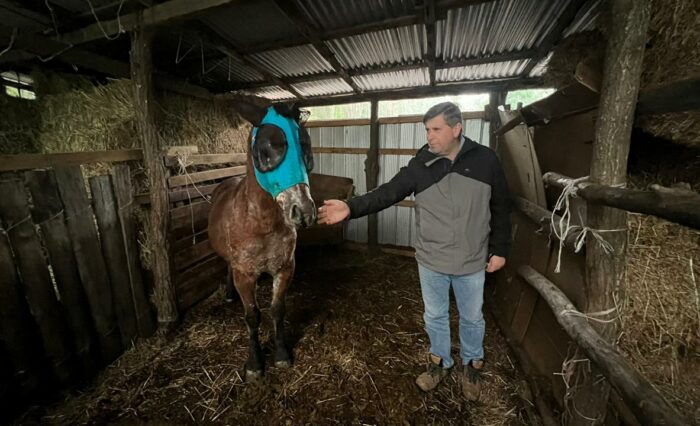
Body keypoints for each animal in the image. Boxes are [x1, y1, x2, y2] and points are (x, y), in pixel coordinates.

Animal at [206, 101, 316, 382]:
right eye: (266, 147)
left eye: (305, 145)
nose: (303, 212)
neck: (262, 223)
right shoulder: (244, 275)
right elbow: (252, 317)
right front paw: (255, 364)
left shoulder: (285, 269)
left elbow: (277, 310)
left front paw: (282, 355)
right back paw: (229, 295)